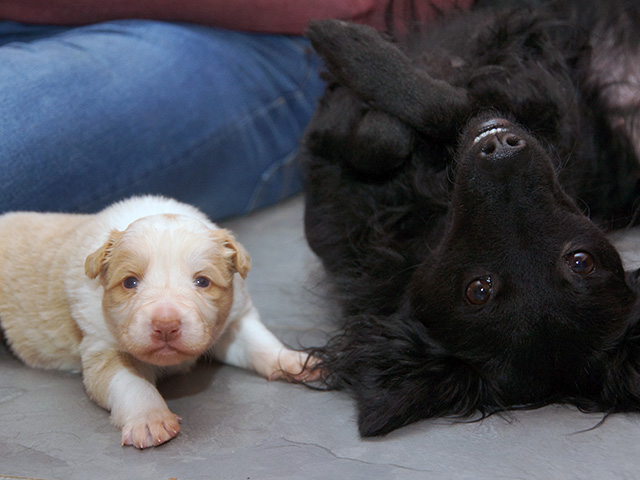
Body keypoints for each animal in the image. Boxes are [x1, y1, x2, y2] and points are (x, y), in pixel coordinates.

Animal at [0, 195, 315, 448]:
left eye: (203, 281)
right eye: (130, 282)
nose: (165, 325)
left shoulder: (235, 319)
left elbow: (259, 341)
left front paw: (294, 361)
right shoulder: (101, 346)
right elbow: (131, 383)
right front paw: (150, 420)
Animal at [300, 0, 640, 436]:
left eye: (477, 290)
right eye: (581, 261)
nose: (501, 154)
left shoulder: (539, 92)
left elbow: (450, 106)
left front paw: (348, 44)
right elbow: (388, 139)